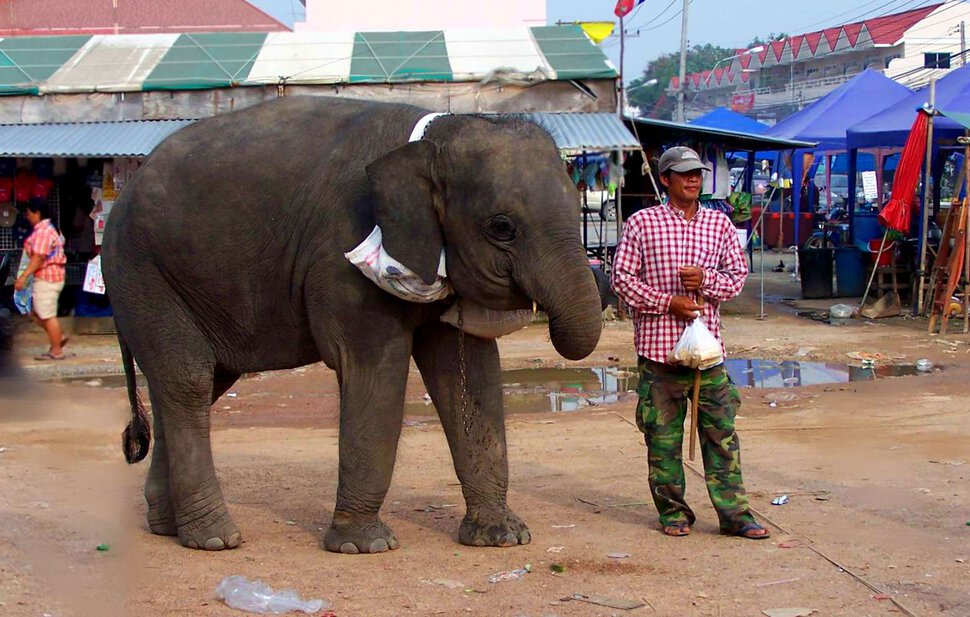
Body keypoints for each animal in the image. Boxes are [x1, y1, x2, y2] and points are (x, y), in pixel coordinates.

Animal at [102, 96, 600, 552]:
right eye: (501, 227)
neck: (433, 135)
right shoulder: (342, 256)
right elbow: (375, 367)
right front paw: (365, 546)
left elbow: (468, 373)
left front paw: (503, 538)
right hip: (142, 273)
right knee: (188, 378)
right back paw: (216, 539)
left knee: (196, 383)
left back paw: (169, 528)